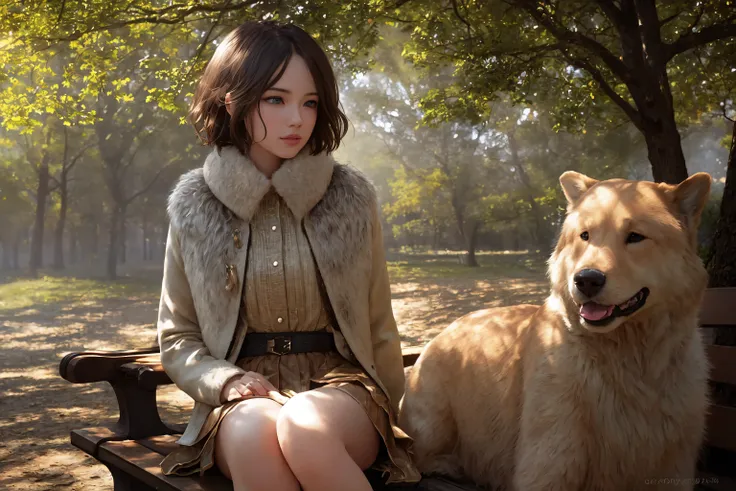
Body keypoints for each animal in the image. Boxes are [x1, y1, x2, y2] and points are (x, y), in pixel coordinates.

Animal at [402, 171, 712, 490]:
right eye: (585, 236)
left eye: (635, 237)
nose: (586, 279)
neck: (630, 360)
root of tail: (440, 334)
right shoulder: (549, 464)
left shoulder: (674, 466)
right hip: (434, 422)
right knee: (418, 458)